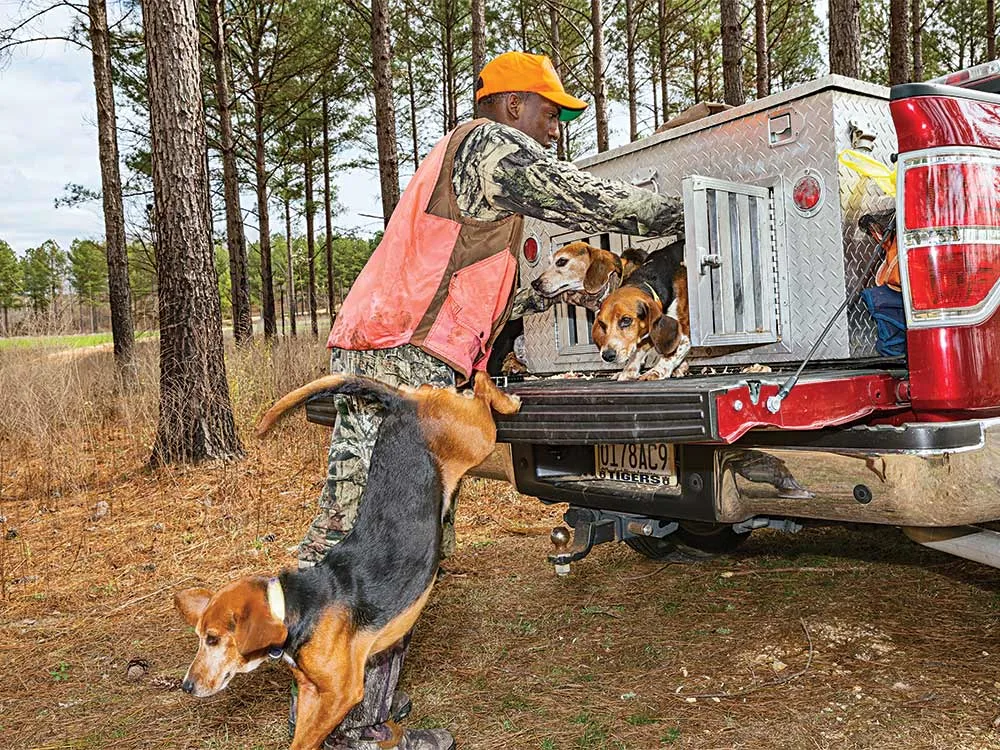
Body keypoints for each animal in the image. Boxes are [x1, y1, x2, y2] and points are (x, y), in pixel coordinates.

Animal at [173, 376, 520, 750]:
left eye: (212, 639)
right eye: (200, 637)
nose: (187, 686)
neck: (294, 607)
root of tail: (401, 404)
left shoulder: (340, 693)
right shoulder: (310, 691)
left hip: (477, 437)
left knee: (482, 386)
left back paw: (508, 398)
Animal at [592, 241, 688, 382]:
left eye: (626, 320)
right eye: (602, 325)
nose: (607, 355)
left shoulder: (684, 330)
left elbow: (672, 353)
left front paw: (656, 371)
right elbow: (637, 351)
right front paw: (627, 372)